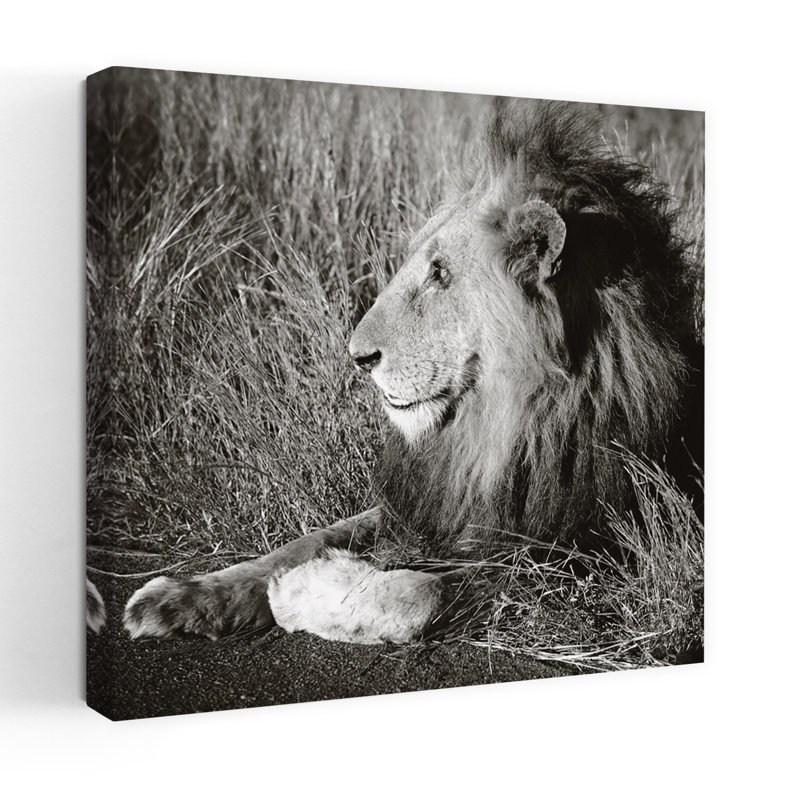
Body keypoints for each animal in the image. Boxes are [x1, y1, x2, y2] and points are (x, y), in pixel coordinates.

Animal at [123, 100, 695, 645]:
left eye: (440, 273)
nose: (358, 357)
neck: (504, 425)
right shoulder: (425, 504)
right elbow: (305, 540)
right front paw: (185, 594)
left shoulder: (576, 555)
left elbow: (421, 590)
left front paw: (300, 591)